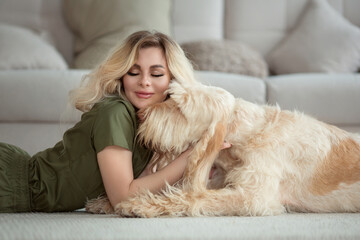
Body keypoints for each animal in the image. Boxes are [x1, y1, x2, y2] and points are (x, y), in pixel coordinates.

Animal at [86, 81, 360, 218]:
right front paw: (105, 203)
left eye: (179, 108)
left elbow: (194, 196)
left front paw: (140, 205)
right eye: (167, 96)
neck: (249, 134)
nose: (141, 114)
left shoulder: (254, 197)